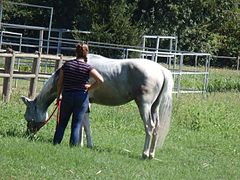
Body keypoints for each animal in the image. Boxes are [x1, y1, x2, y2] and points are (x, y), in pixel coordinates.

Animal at [21, 53, 173, 159]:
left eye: (27, 116)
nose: (28, 134)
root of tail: (161, 70)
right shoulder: (86, 104)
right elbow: (82, 124)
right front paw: (80, 143)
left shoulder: (84, 102)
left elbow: (85, 124)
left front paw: (86, 144)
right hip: (154, 107)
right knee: (156, 128)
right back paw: (151, 154)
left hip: (144, 106)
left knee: (149, 127)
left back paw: (145, 154)